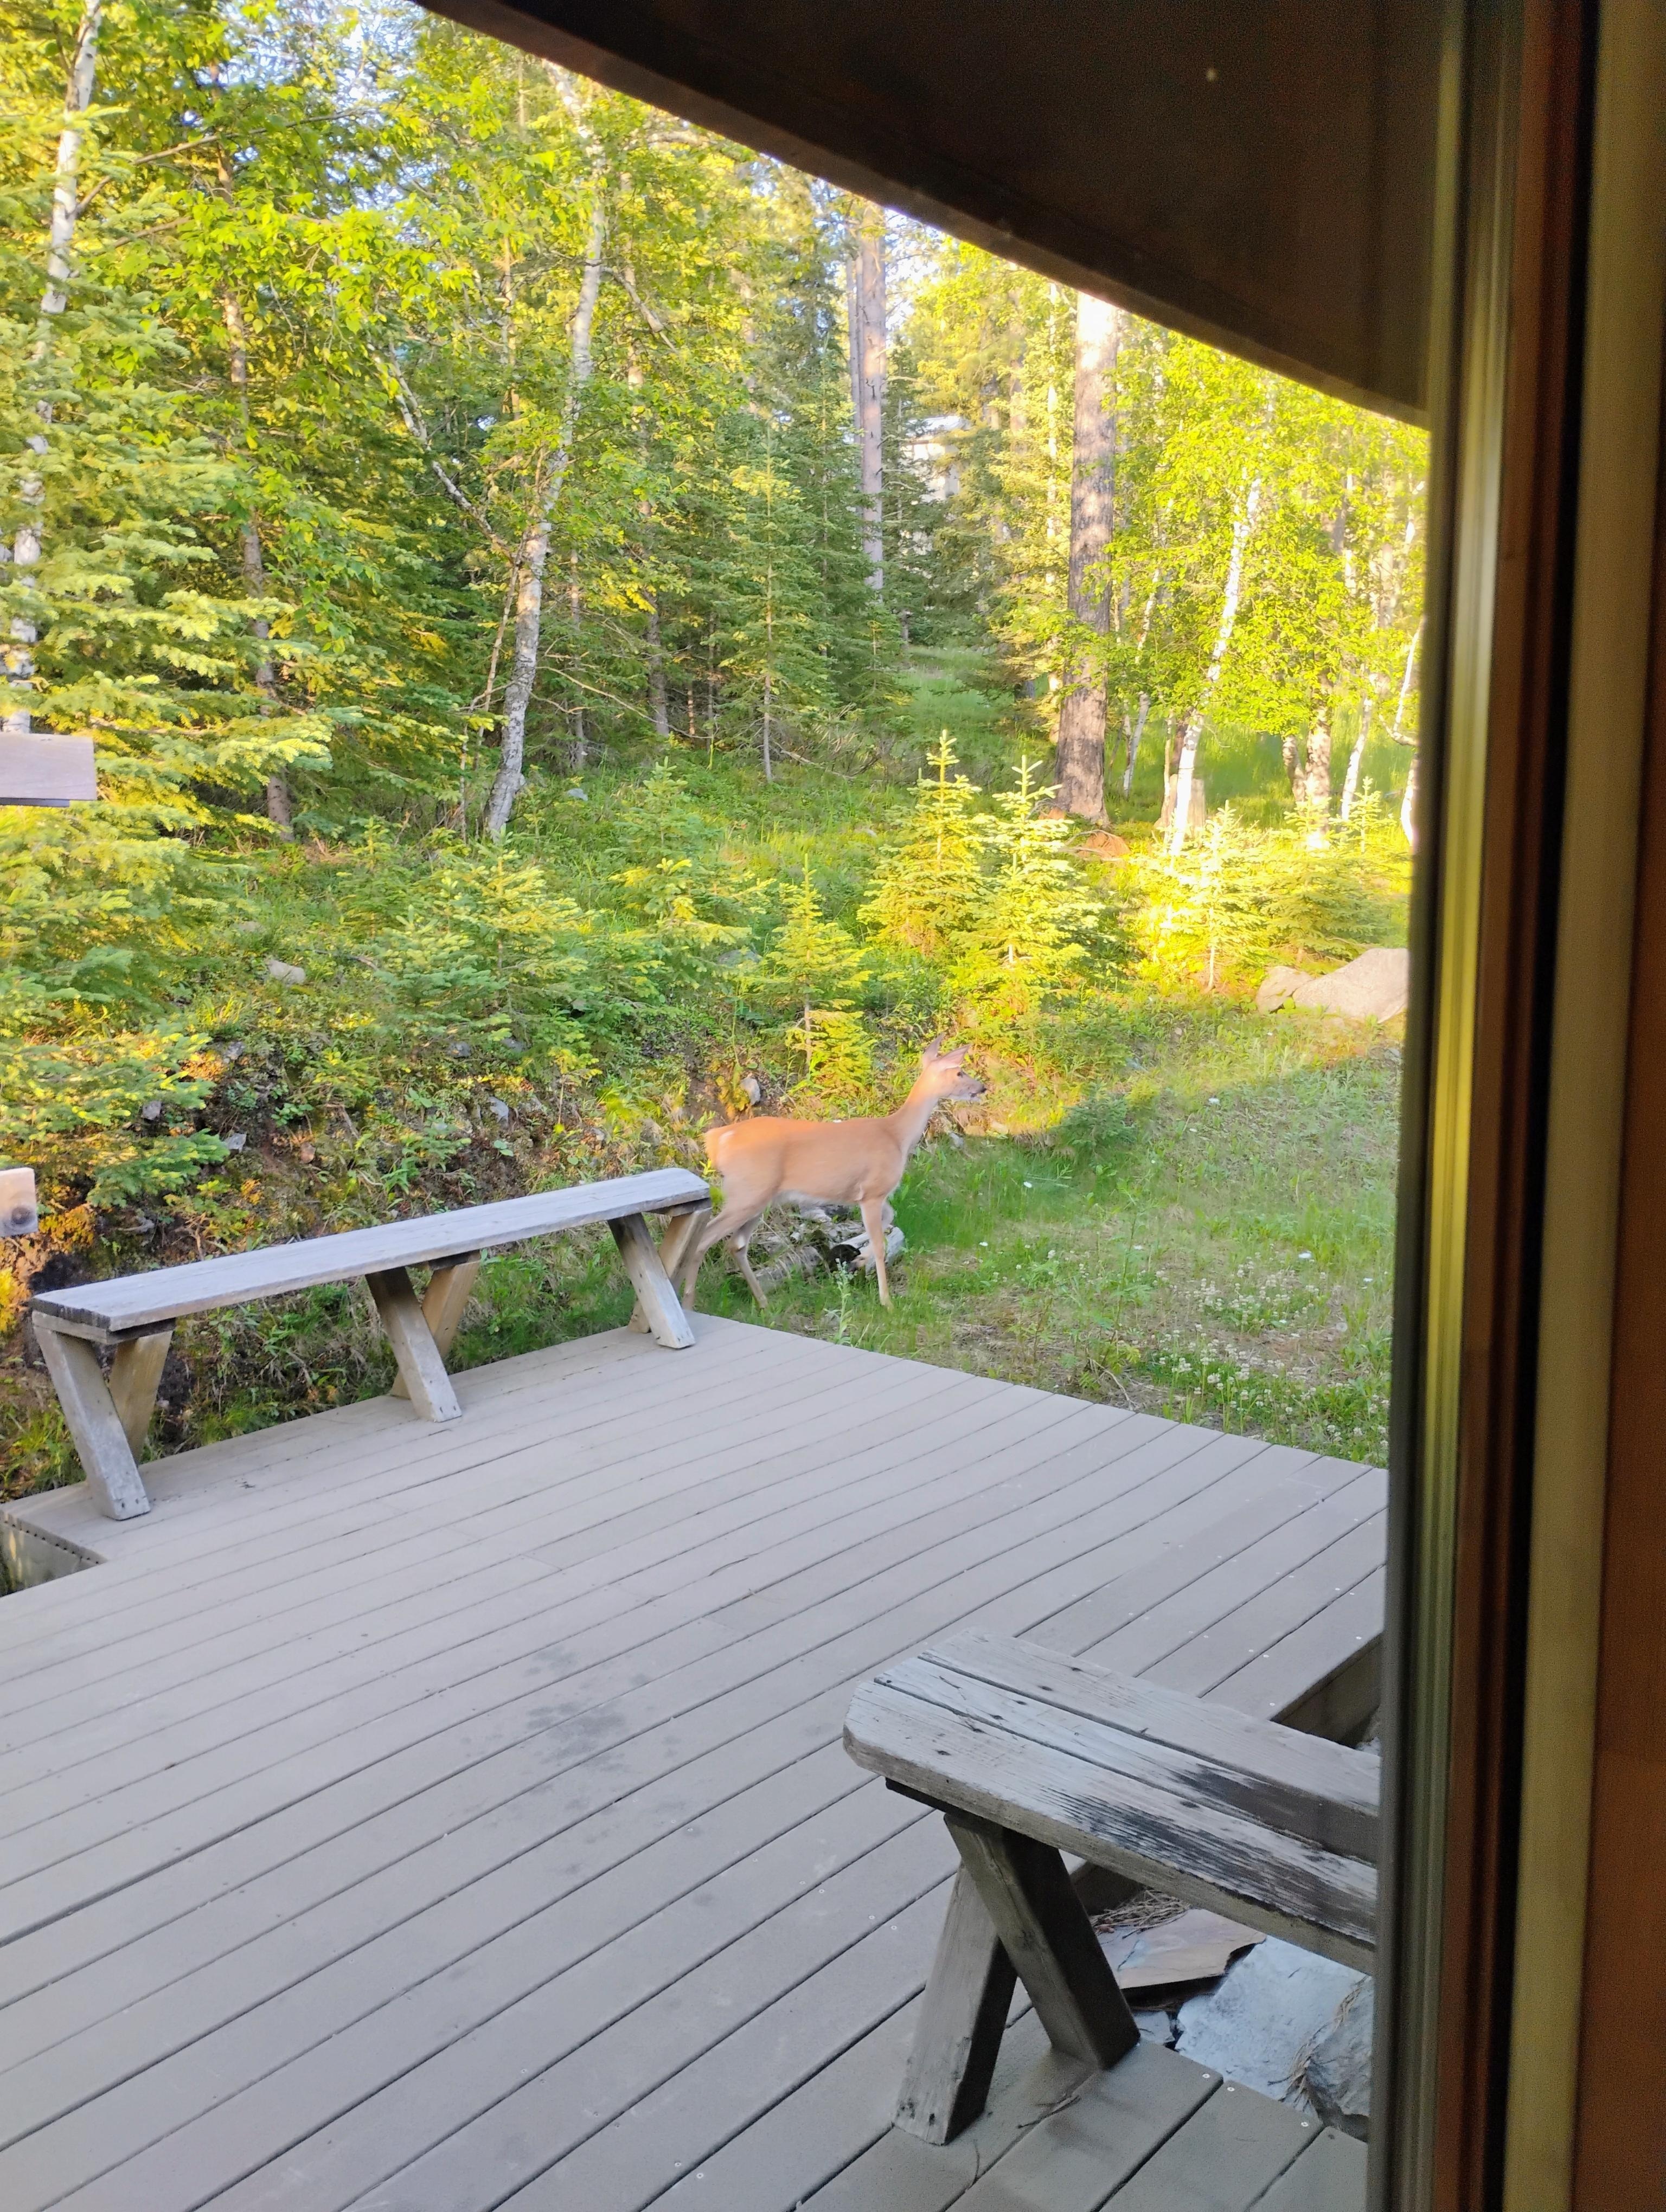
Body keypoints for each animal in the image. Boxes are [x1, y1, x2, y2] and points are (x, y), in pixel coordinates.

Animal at [676, 1043, 986, 1310]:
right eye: (959, 1072)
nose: (983, 1087)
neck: (897, 1136)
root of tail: (718, 1138)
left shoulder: (874, 1195)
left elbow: (889, 1220)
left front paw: (858, 1259)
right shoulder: (872, 1191)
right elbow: (881, 1242)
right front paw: (886, 1301)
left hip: (760, 1196)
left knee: (737, 1244)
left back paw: (763, 1303)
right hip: (747, 1191)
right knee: (706, 1239)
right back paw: (689, 1303)